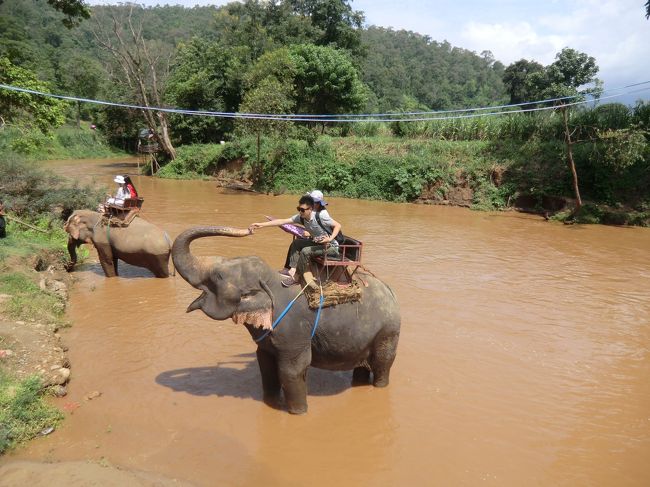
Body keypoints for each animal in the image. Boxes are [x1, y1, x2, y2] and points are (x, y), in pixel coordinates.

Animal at [170, 227, 398, 414]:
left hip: (388, 332)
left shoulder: (294, 332)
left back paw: (379, 385)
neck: (270, 283)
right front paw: (270, 403)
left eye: (217, 277)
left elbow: (292, 371)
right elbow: (265, 364)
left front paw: (298, 413)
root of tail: (390, 290)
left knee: (383, 364)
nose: (250, 229)